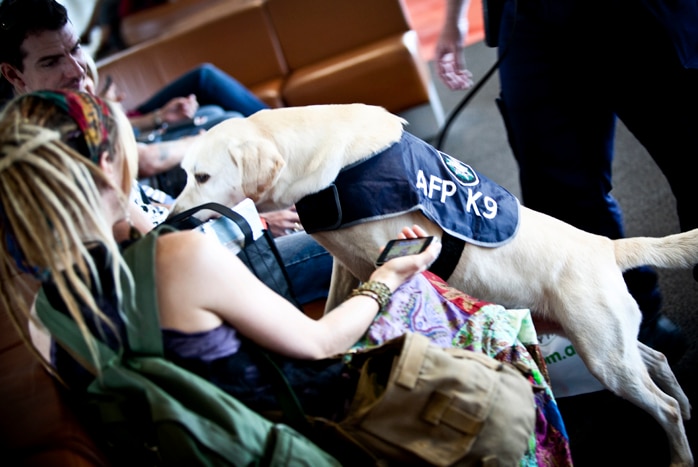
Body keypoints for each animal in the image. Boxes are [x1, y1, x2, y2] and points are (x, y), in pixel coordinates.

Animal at [171, 104, 692, 466]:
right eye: (184, 175)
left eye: (203, 176)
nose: (174, 219)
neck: (326, 165)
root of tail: (606, 247)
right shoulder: (345, 264)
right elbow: (335, 309)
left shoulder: (389, 257)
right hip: (602, 343)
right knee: (657, 361)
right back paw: (687, 406)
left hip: (603, 354)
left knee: (661, 404)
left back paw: (679, 449)